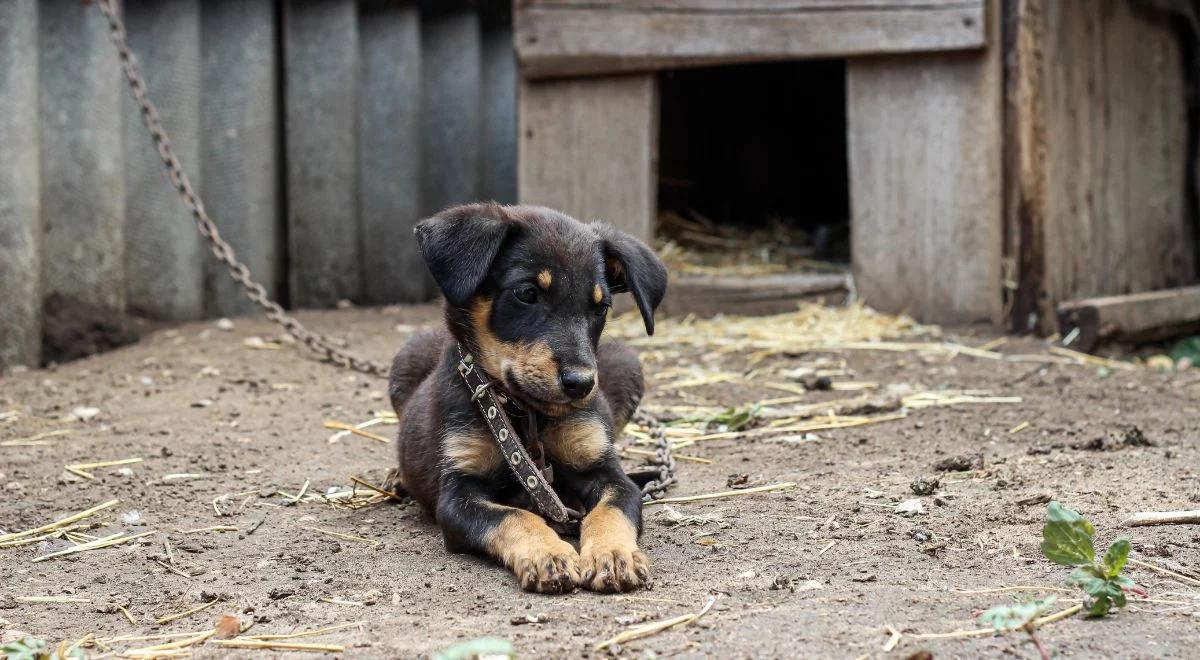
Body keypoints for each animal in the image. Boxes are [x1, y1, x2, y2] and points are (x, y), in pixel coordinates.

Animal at [388, 201, 667, 595]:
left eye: (600, 307)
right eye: (527, 294)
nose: (581, 384)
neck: (526, 414)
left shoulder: (605, 472)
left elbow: (610, 510)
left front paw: (613, 555)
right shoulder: (458, 493)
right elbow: (514, 516)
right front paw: (549, 554)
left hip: (627, 365)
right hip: (406, 357)